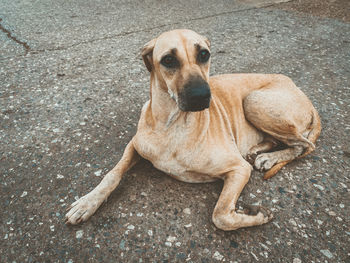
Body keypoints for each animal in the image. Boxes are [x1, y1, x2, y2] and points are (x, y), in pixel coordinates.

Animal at [64, 29, 322, 231]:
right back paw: (260, 149)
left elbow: (220, 215)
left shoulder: (239, 169)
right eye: (168, 60)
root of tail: (301, 91)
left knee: (304, 145)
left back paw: (269, 157)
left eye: (204, 54)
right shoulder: (134, 145)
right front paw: (87, 202)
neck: (172, 125)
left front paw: (256, 214)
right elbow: (112, 174)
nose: (202, 96)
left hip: (254, 101)